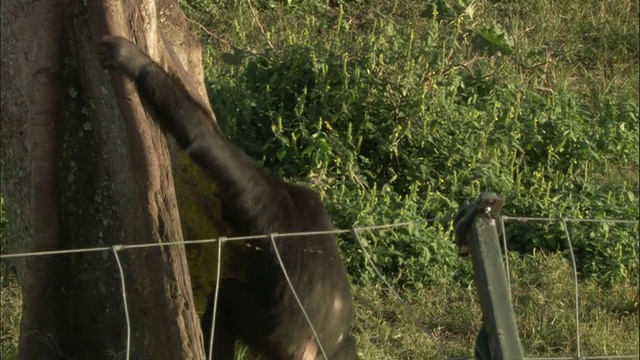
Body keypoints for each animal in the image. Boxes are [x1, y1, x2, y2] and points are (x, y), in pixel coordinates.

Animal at [100, 34, 360, 360]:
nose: (225, 211)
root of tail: (315, 348)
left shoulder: (250, 189)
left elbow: (203, 140)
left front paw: (134, 60)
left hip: (273, 336)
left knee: (225, 299)